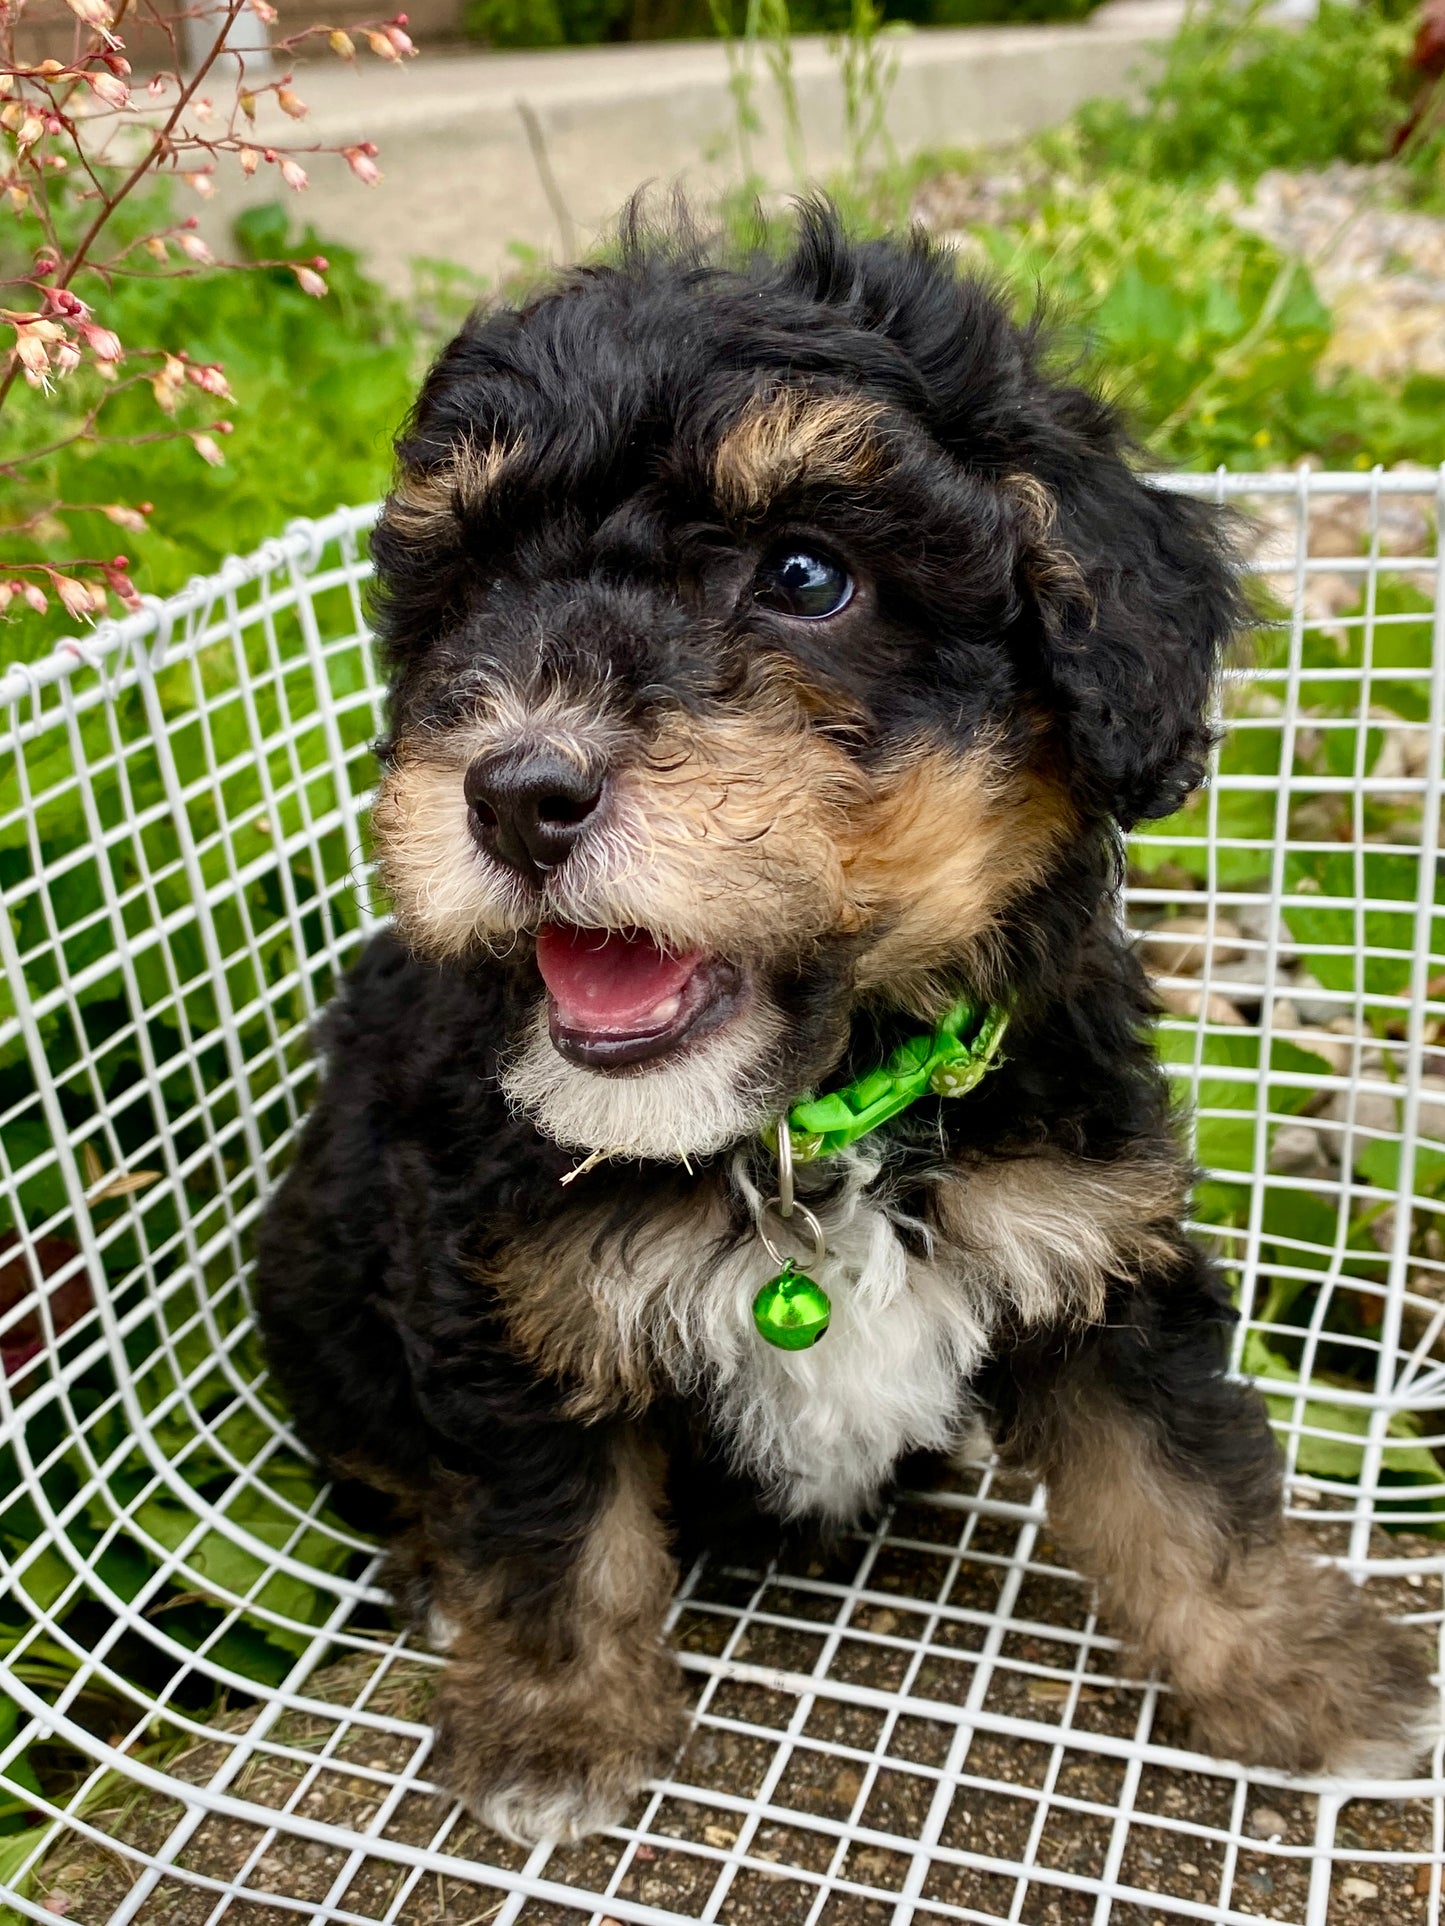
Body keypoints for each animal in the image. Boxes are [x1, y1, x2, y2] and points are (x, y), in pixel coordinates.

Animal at [252, 203, 1441, 1841]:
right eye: (471, 596)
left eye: (806, 576)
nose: (514, 792)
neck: (805, 1124)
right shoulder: (501, 1296)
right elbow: (546, 1517)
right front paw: (554, 1728)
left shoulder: (1095, 1234)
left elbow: (1179, 1474)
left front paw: (1305, 1671)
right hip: (318, 1284)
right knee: (392, 1457)